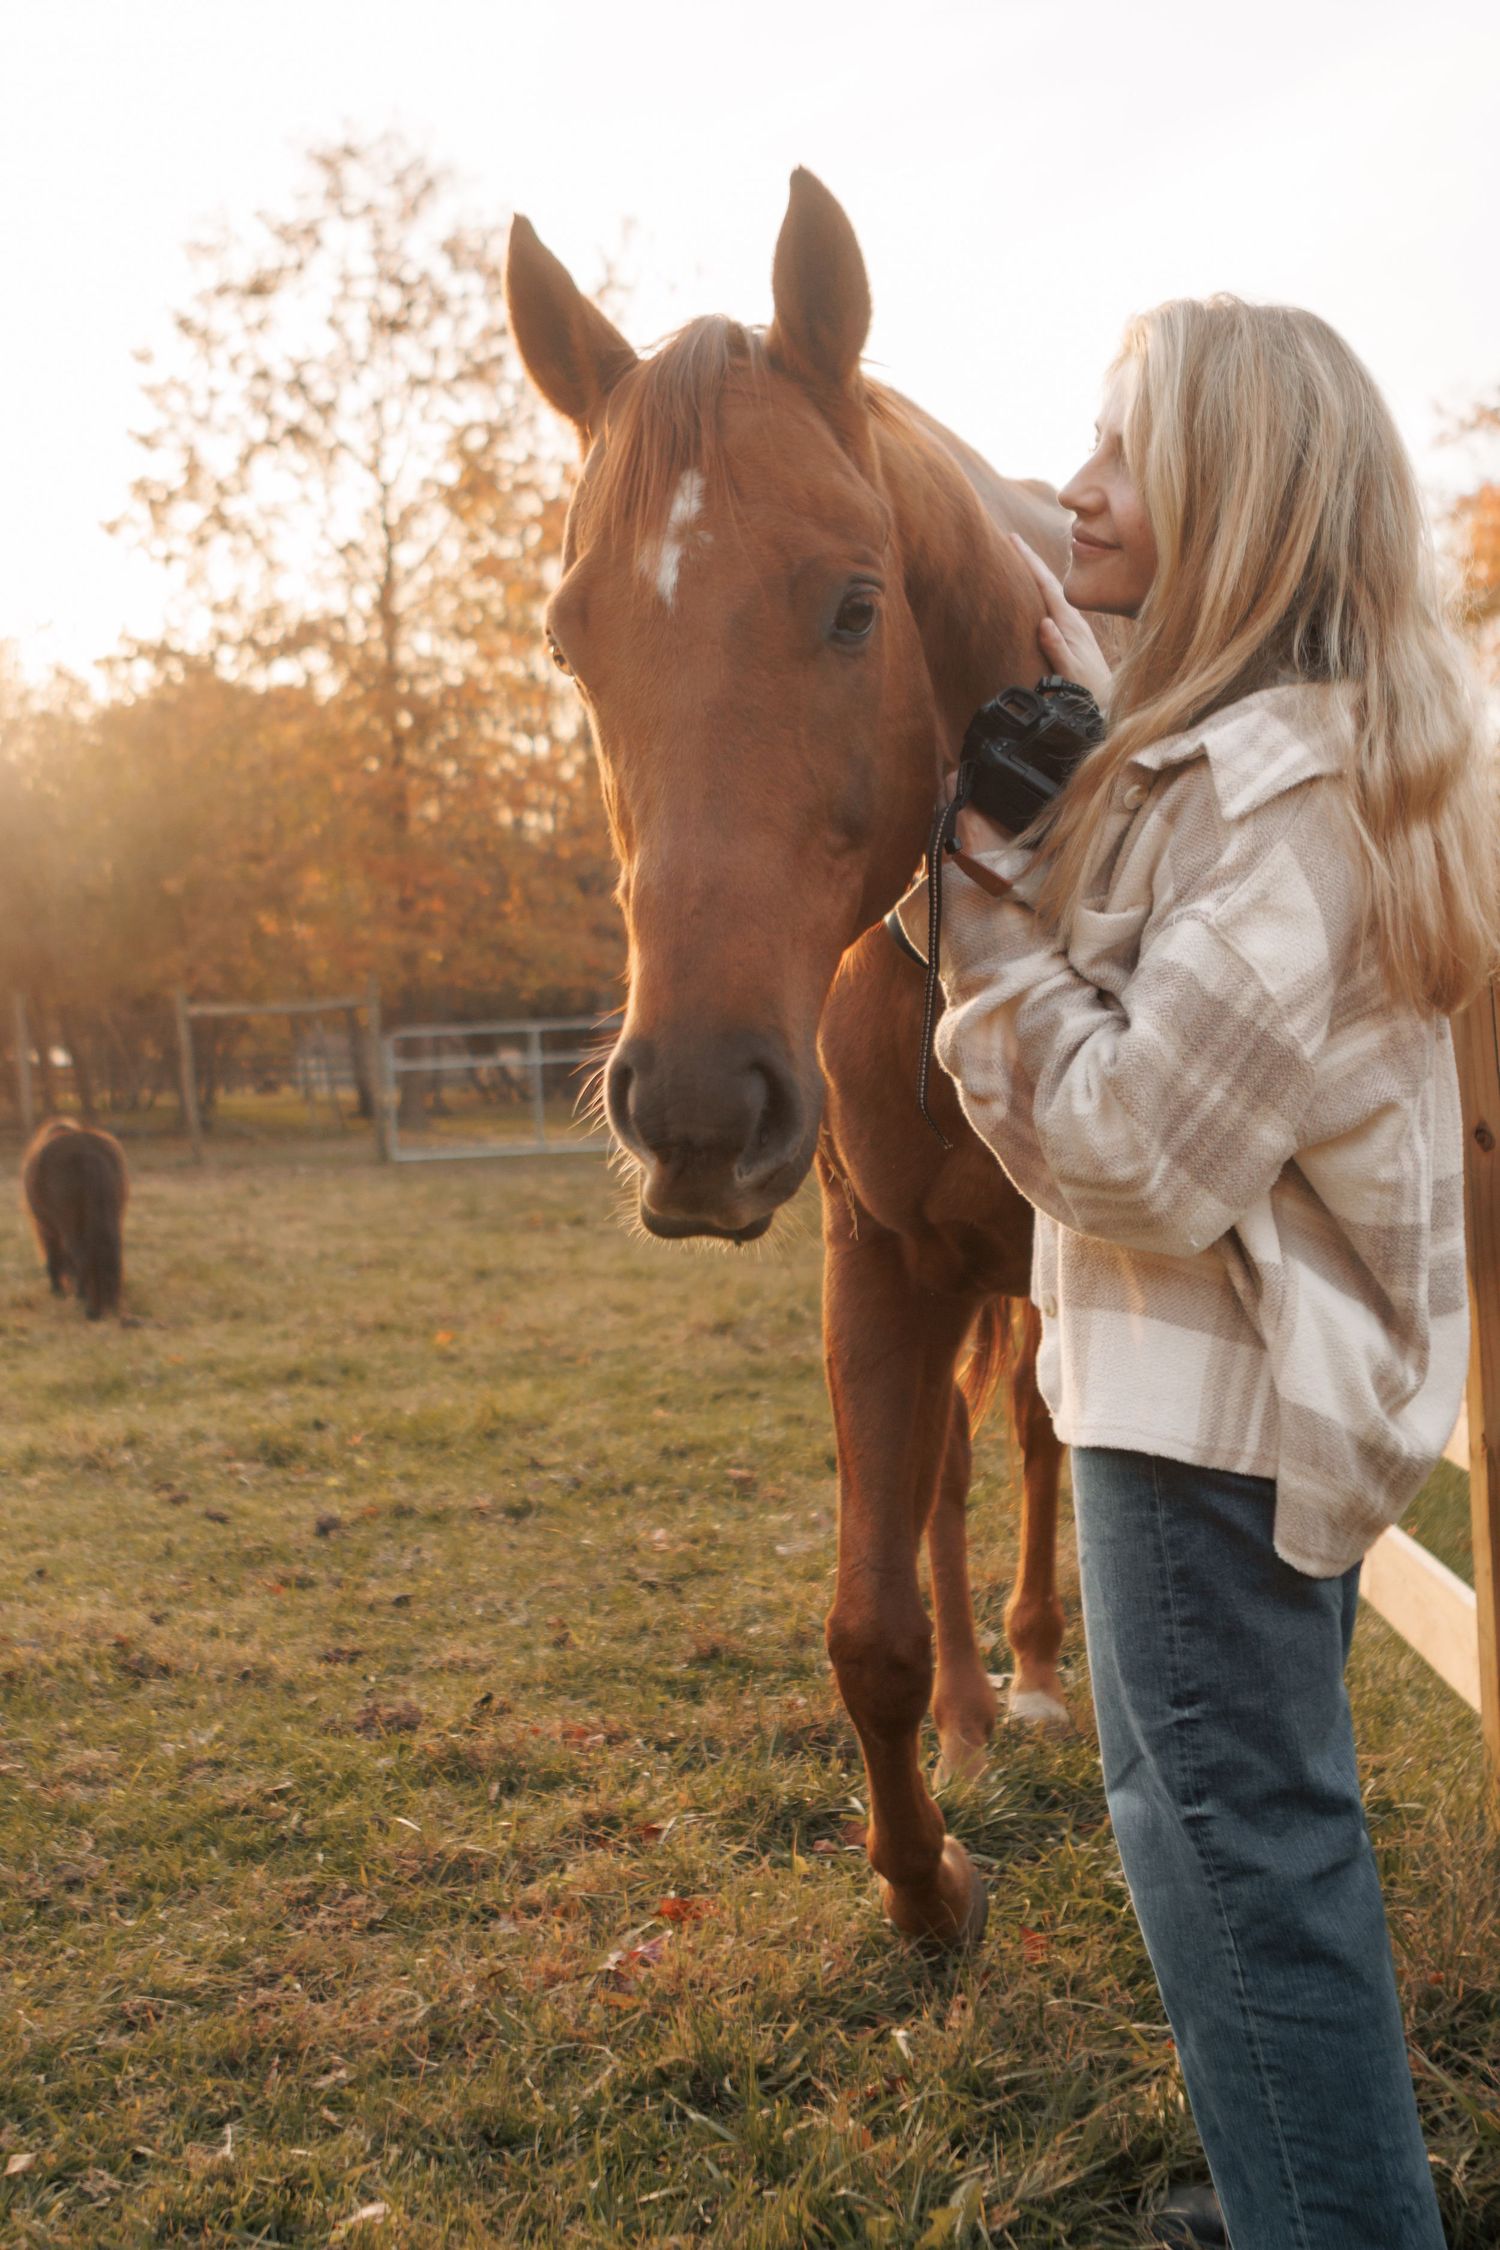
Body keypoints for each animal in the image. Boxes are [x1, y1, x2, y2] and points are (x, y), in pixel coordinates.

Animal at [22, 1118, 130, 1320]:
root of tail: (88, 1153)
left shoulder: (46, 1229)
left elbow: (53, 1258)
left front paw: (57, 1290)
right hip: (112, 1217)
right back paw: (108, 1303)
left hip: (69, 1225)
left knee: (80, 1255)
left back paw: (87, 1303)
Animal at [506, 170, 1120, 1947]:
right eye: (568, 644)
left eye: (856, 603)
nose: (699, 1108)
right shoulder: (879, 1257)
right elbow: (874, 1619)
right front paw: (923, 1883)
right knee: (962, 1474)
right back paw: (990, 1707)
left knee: (1036, 1442)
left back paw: (1036, 1674)